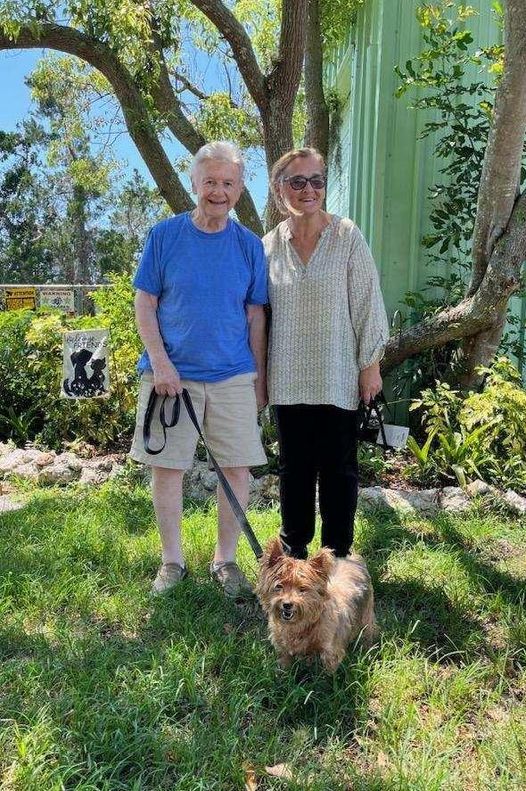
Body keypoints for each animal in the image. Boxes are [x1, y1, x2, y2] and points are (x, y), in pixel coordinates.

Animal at [256, 540, 378, 668]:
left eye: (302, 589)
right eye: (279, 586)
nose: (287, 604)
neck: (301, 624)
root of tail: (353, 559)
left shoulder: (330, 651)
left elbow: (329, 670)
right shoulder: (283, 649)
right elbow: (285, 663)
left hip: (367, 613)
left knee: (368, 631)